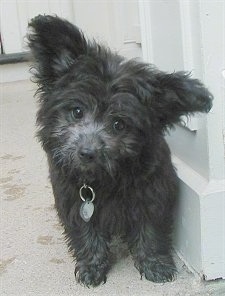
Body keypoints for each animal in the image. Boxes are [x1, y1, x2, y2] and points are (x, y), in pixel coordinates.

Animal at [27, 15, 212, 286]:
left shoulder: (152, 193)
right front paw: (92, 267)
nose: (87, 153)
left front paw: (155, 264)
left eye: (118, 124)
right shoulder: (72, 199)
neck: (105, 179)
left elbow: (150, 230)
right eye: (77, 111)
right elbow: (86, 233)